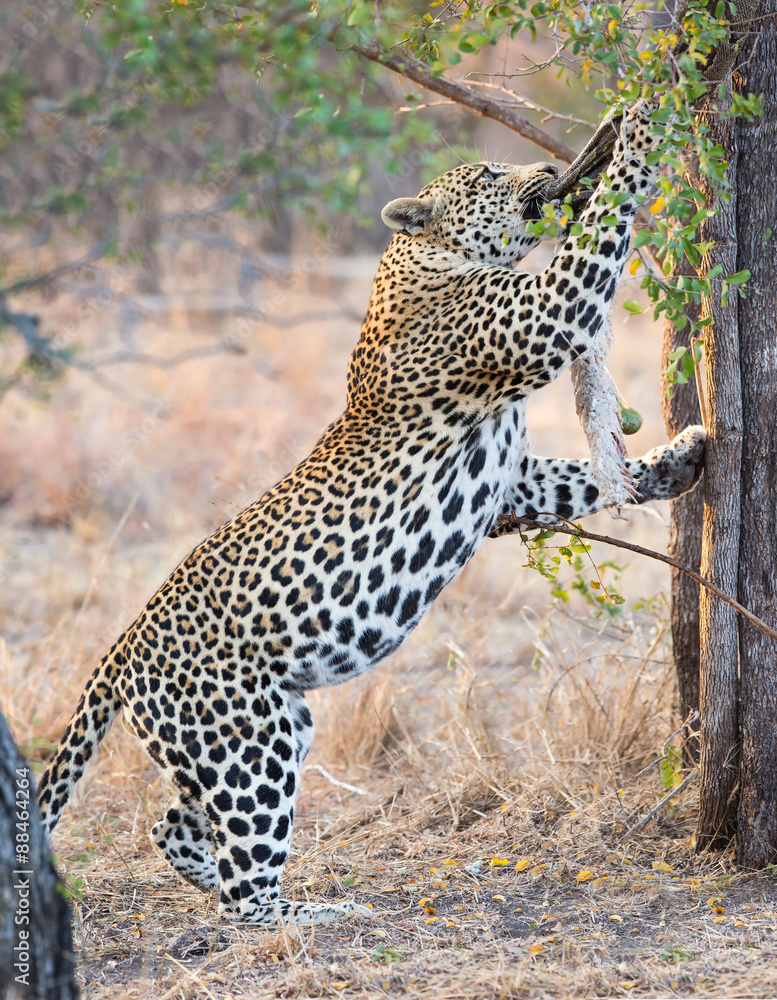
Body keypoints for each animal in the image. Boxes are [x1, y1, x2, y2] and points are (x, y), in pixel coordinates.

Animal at [37, 103, 706, 928]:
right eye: (489, 174)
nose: (549, 170)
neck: (424, 257)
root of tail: (122, 649)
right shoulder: (544, 314)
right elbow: (600, 226)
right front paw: (641, 129)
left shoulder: (511, 485)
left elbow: (580, 478)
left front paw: (681, 459)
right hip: (247, 743)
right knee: (244, 895)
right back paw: (319, 915)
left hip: (265, 727)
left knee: (174, 827)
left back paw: (212, 878)